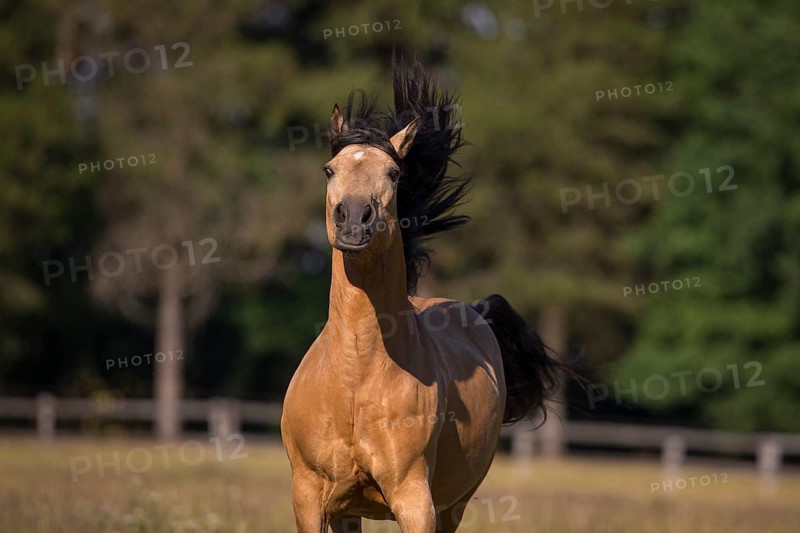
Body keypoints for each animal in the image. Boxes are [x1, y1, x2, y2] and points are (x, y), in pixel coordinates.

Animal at [281, 56, 563, 533]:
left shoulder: (415, 499)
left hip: (454, 504)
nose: (353, 219)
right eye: (329, 169)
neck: (355, 377)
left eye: (394, 173)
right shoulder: (311, 498)